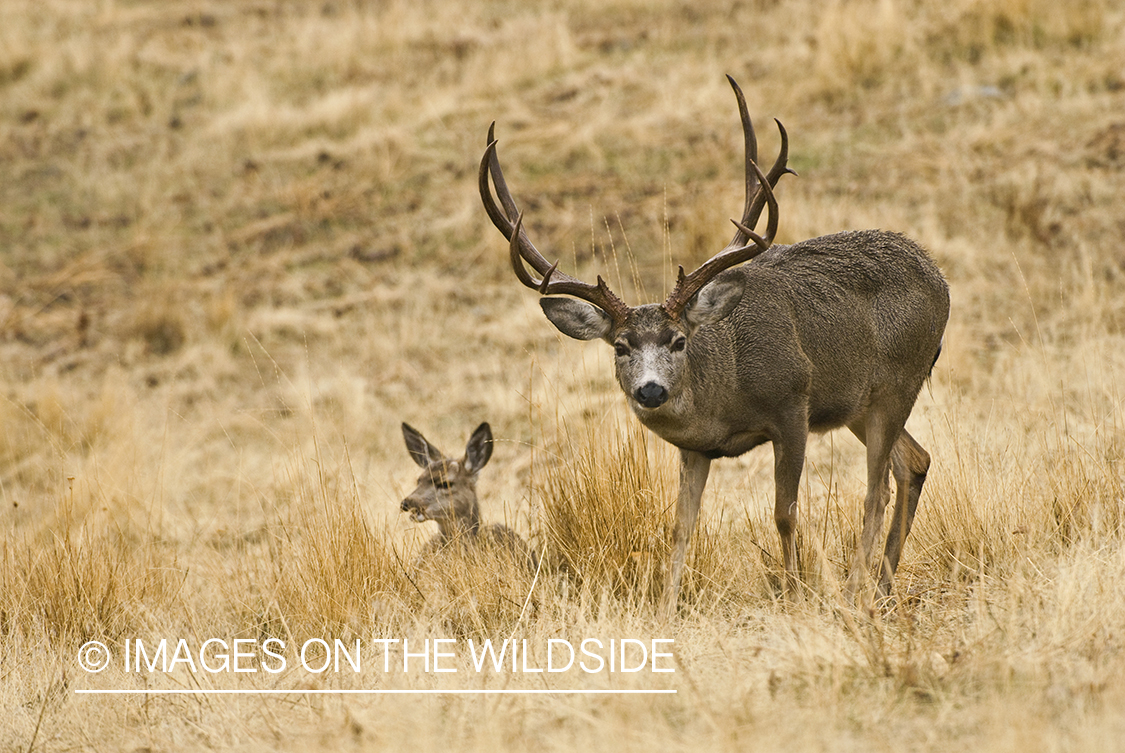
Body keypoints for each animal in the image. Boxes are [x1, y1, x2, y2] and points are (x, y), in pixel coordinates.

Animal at [479, 75, 949, 615]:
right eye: (620, 346)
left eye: (679, 340)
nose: (651, 390)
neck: (725, 393)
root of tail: (940, 280)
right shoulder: (695, 448)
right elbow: (681, 527)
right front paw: (666, 609)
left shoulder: (793, 404)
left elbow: (784, 513)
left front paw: (793, 594)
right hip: (860, 404)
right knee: (914, 462)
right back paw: (884, 587)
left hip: (898, 382)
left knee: (876, 490)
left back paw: (854, 593)